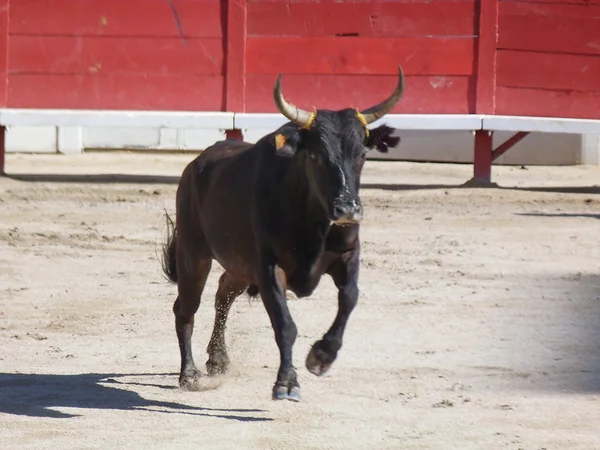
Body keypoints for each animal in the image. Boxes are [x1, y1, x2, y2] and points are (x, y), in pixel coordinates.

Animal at [159, 66, 406, 400]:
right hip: (193, 254)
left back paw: (218, 358)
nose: (347, 209)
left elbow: (350, 297)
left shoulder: (348, 254)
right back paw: (188, 374)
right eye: (315, 156)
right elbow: (285, 324)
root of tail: (196, 164)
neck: (314, 222)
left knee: (224, 292)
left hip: (239, 265)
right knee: (186, 307)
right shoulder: (268, 267)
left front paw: (321, 356)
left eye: (361, 155)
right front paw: (287, 383)